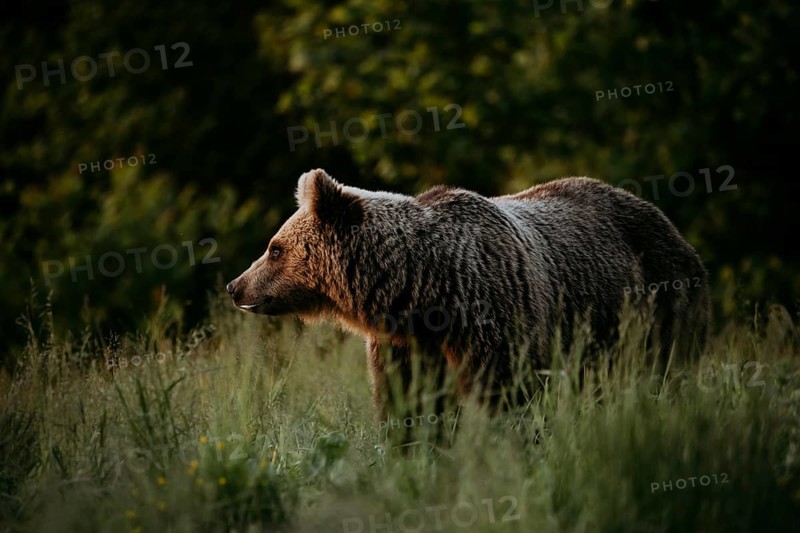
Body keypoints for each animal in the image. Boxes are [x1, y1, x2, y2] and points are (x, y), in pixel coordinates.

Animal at [227, 169, 710, 419]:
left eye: (274, 248)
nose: (235, 286)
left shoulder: (496, 323)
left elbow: (503, 399)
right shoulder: (405, 347)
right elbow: (407, 407)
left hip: (653, 305)